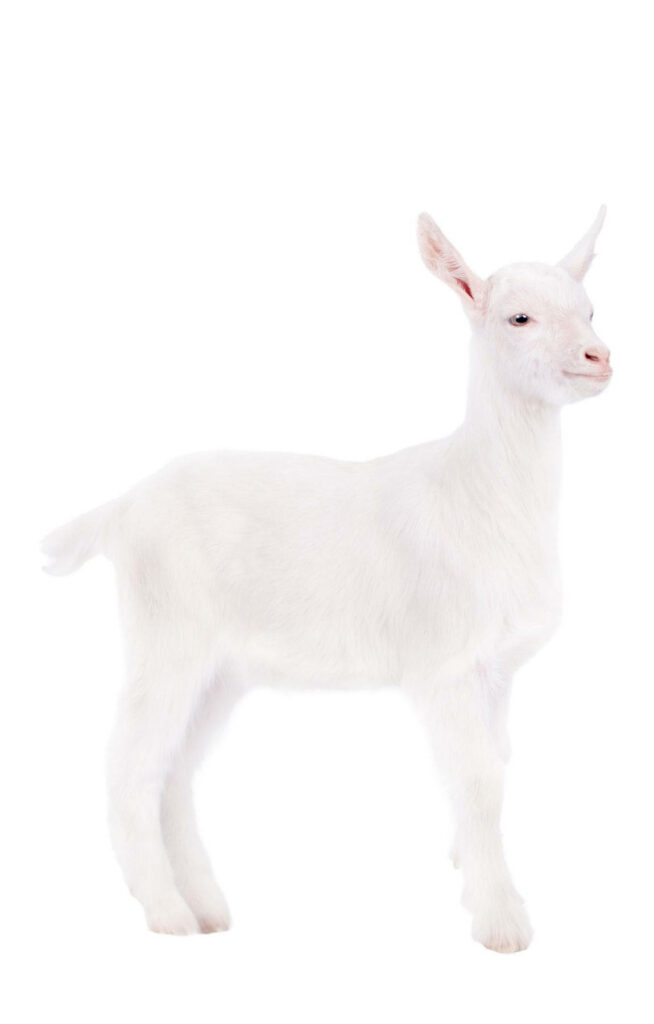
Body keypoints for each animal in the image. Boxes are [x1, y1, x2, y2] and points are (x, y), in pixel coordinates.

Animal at [42, 209, 611, 952]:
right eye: (519, 317)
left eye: (591, 309)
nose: (599, 358)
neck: (478, 493)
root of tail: (122, 507)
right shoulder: (445, 664)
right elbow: (480, 782)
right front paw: (502, 922)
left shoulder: (497, 671)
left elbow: (499, 767)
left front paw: (470, 873)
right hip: (167, 636)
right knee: (130, 765)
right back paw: (166, 913)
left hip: (220, 672)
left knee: (175, 770)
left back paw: (206, 908)